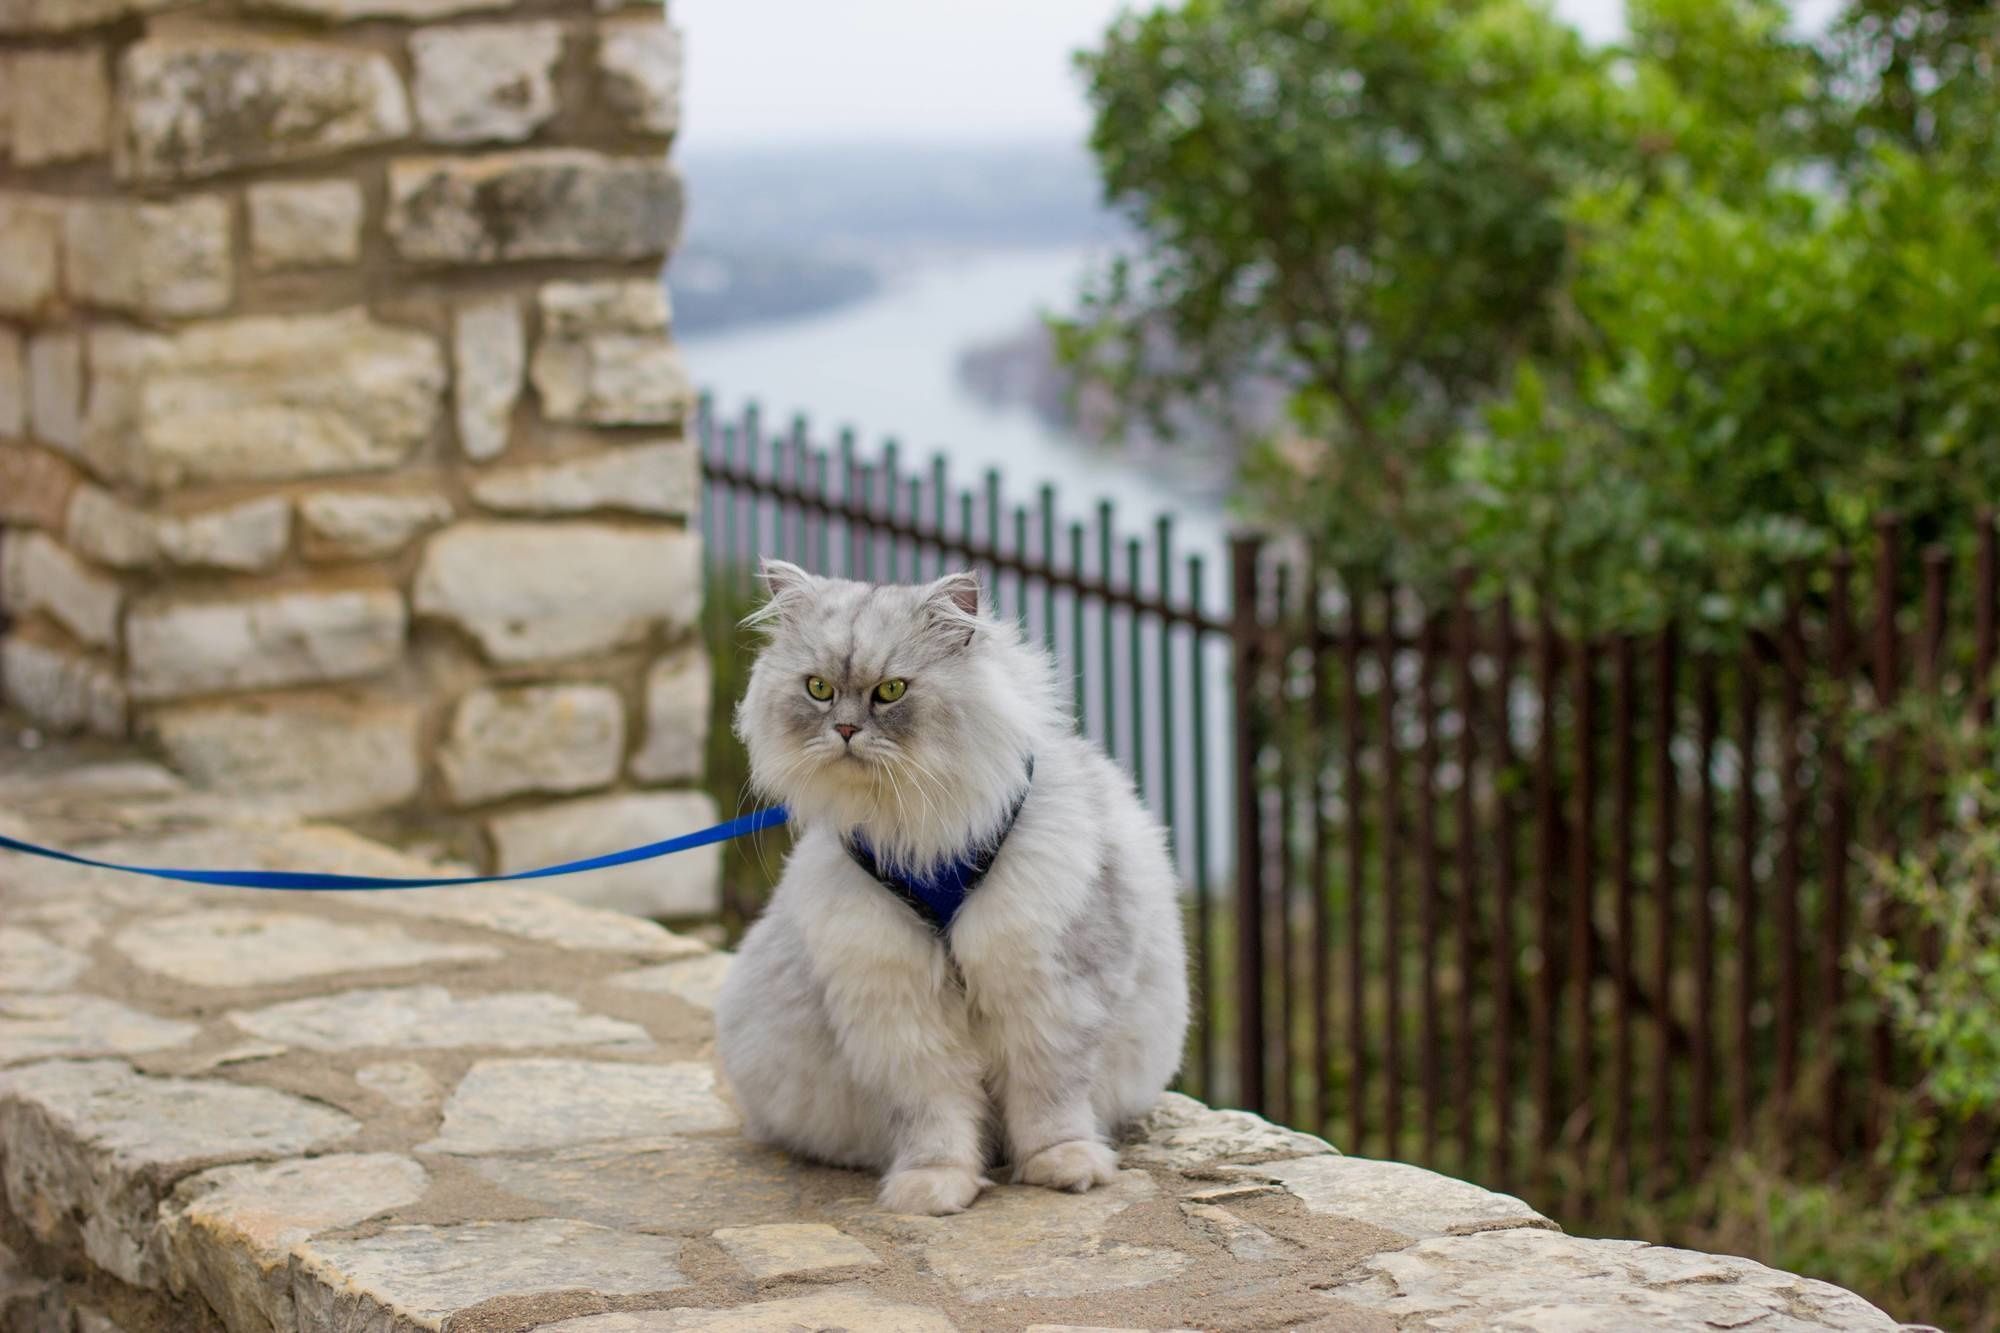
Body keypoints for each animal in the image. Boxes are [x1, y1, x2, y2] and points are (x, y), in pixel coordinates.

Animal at [716, 560, 1184, 1216]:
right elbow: (933, 1114)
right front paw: (934, 1188)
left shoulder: (1052, 990)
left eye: (891, 691)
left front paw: (1064, 1167)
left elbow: (1052, 1097)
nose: (845, 729)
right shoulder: (897, 1008)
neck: (918, 837)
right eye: (818, 689)